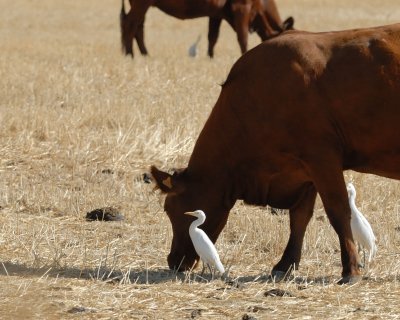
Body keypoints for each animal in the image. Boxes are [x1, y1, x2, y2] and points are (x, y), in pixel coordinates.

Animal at [152, 23, 400, 284]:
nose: (173, 260)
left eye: (170, 209)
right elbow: (299, 217)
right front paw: (286, 264)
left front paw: (350, 268)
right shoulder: (304, 171)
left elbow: (338, 212)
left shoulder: (322, 160)